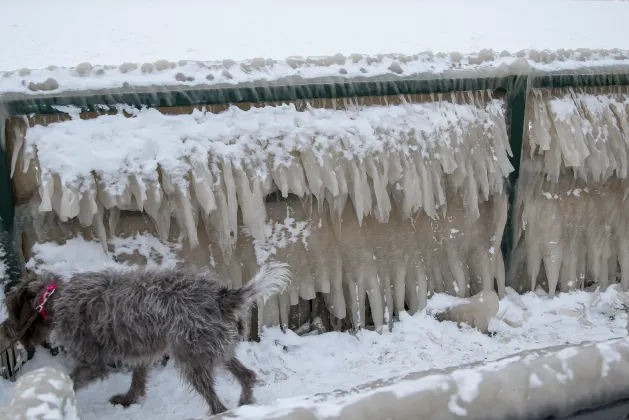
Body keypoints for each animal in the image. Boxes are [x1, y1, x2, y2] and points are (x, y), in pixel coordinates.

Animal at [0, 264, 290, 416]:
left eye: (12, 309)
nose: (8, 330)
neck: (55, 298)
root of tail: (221, 296)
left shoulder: (93, 362)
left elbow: (71, 380)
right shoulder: (141, 350)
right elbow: (137, 379)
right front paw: (129, 400)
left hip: (191, 356)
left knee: (217, 403)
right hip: (211, 348)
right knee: (247, 374)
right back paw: (246, 404)